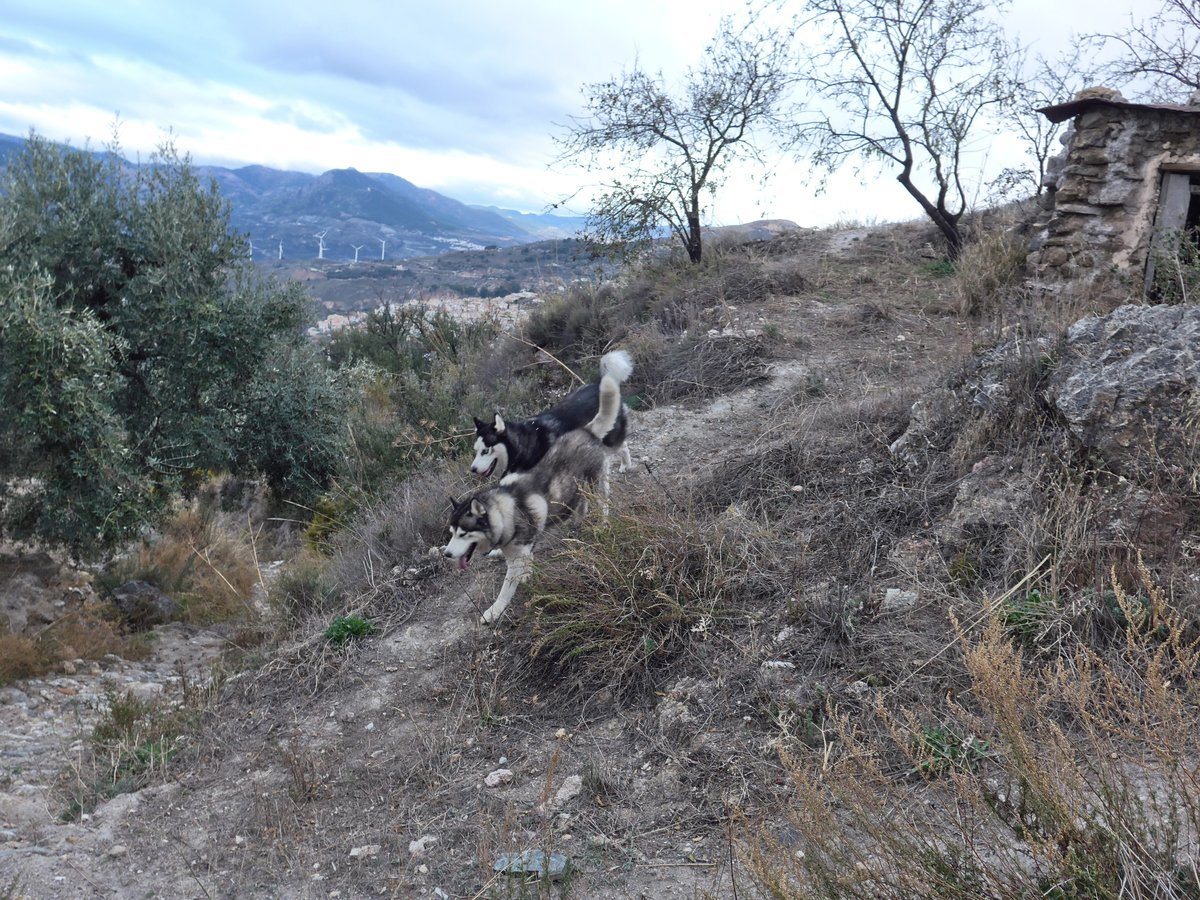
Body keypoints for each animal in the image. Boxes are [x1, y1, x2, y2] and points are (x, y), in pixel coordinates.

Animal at [446, 362, 624, 624]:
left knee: (603, 502)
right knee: (580, 503)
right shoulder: (518, 552)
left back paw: (602, 522)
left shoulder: (517, 556)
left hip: (597, 482)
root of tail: (586, 430)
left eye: (463, 534)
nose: (447, 554)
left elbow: (506, 588)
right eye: (451, 533)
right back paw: (577, 522)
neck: (505, 513)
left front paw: (494, 611)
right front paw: (527, 577)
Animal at [470, 348, 638, 482]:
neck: (524, 444)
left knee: (623, 446)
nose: (472, 469)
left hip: (609, 438)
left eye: (485, 451)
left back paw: (626, 464)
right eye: (475, 450)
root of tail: (600, 383)